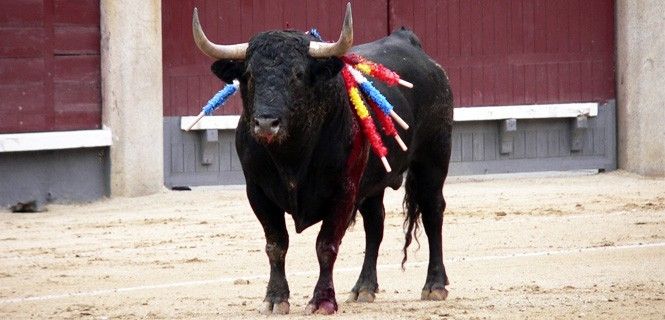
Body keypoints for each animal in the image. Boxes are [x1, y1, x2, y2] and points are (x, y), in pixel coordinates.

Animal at [191, 3, 452, 316]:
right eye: (250, 75)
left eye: (299, 74)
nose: (266, 123)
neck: (291, 154)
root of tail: (412, 46)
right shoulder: (257, 192)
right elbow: (276, 244)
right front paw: (275, 298)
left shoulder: (343, 191)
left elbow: (326, 245)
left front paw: (322, 300)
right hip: (373, 183)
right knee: (375, 224)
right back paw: (364, 287)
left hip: (433, 159)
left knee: (432, 211)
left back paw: (435, 285)